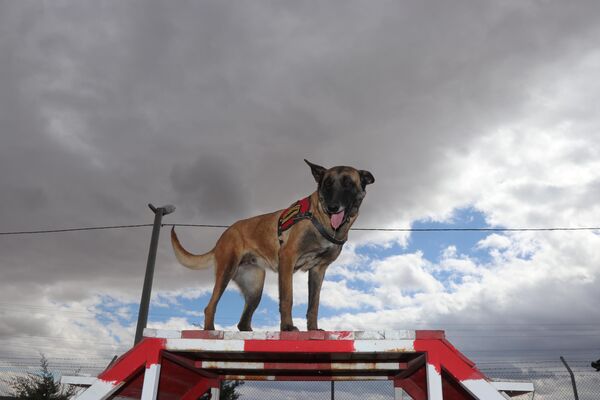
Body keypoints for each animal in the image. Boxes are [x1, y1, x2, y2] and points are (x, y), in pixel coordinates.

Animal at [171, 159, 372, 332]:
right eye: (327, 184)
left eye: (348, 183)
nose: (332, 207)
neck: (320, 218)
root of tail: (224, 234)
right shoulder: (287, 259)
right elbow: (287, 298)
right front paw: (287, 327)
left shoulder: (318, 270)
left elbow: (313, 305)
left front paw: (313, 329)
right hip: (226, 271)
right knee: (210, 306)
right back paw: (210, 331)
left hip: (255, 289)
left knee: (242, 322)